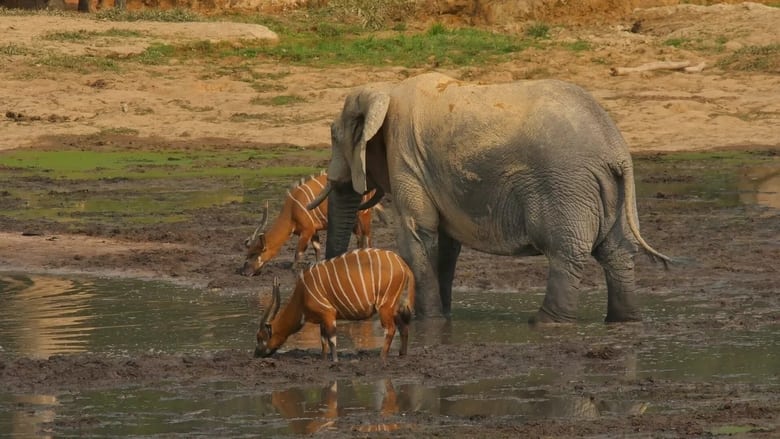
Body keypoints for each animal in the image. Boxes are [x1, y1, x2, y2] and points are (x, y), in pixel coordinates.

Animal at [254, 249, 414, 366]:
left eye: (260, 337)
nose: (256, 354)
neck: (302, 294)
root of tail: (404, 265)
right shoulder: (322, 319)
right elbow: (323, 340)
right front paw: (323, 359)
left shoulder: (328, 313)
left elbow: (331, 339)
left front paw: (335, 361)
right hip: (393, 306)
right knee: (404, 326)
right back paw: (402, 354)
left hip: (384, 306)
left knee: (391, 329)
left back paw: (381, 357)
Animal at [306, 73, 672, 324]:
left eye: (333, 135)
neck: (386, 90)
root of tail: (616, 151)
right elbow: (445, 244)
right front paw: (444, 318)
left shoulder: (406, 159)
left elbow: (416, 234)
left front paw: (428, 322)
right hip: (610, 188)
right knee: (617, 253)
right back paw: (623, 321)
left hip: (567, 185)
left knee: (567, 252)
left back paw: (543, 323)